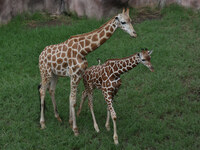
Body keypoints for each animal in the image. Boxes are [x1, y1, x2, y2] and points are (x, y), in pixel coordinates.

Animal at [38, 8, 137, 136]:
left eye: (131, 20)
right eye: (123, 22)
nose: (134, 34)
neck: (83, 50)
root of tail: (40, 55)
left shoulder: (79, 75)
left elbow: (72, 97)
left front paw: (70, 122)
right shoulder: (74, 75)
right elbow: (73, 100)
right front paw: (75, 129)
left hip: (55, 74)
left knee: (51, 90)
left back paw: (58, 117)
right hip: (45, 72)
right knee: (42, 91)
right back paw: (43, 123)